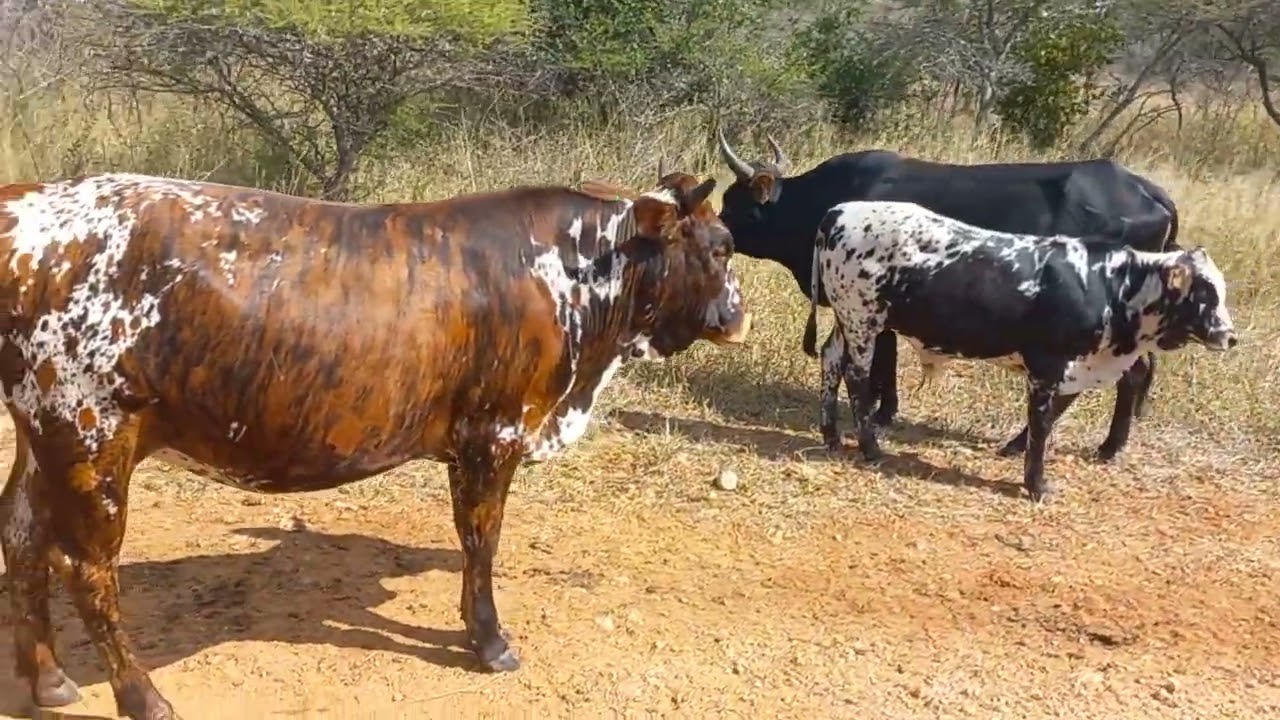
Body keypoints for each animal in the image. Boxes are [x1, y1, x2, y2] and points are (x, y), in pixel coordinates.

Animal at [0, 169, 752, 719]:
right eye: (719, 248)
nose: (739, 317)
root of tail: (29, 199)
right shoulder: (493, 432)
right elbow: (481, 542)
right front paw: (490, 642)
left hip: (43, 434)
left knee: (22, 536)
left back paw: (49, 682)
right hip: (89, 431)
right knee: (87, 569)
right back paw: (144, 698)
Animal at [714, 130, 1181, 461]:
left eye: (734, 204)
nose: (715, 231)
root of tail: (1146, 190)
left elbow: (882, 361)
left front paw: (881, 412)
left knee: (1120, 376)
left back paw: (1091, 446)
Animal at [800, 199, 1236, 502]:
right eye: (1204, 293)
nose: (1230, 336)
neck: (1109, 284)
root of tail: (840, 211)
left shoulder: (1073, 367)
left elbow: (1054, 415)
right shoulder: (1047, 366)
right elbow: (1042, 427)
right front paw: (1036, 484)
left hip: (847, 321)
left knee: (830, 360)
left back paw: (832, 436)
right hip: (863, 321)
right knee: (857, 378)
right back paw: (870, 447)